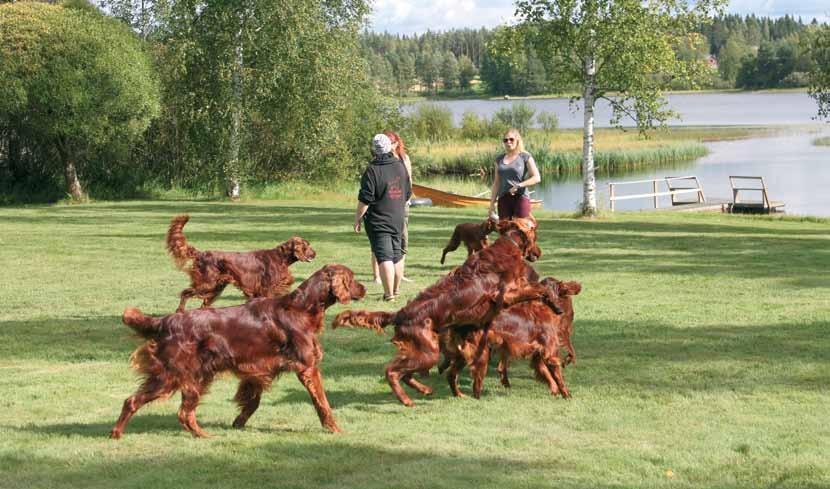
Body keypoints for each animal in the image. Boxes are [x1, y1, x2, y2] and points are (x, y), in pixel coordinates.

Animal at [111, 264, 368, 438]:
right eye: (353, 278)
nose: (365, 288)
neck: (302, 308)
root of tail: (165, 321)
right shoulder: (308, 368)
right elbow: (322, 403)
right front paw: (334, 428)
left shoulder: (258, 368)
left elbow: (253, 401)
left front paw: (238, 421)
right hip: (172, 375)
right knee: (134, 401)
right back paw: (117, 433)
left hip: (196, 377)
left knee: (184, 412)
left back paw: (202, 435)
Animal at [167, 214, 316, 312]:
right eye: (306, 246)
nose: (315, 254)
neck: (280, 257)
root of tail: (201, 253)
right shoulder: (266, 289)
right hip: (207, 283)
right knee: (185, 293)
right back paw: (179, 312)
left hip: (216, 286)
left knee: (203, 305)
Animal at [334, 216, 564, 404]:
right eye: (535, 234)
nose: (539, 252)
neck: (509, 245)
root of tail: (399, 314)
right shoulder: (507, 294)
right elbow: (540, 289)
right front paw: (555, 303)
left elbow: (538, 290)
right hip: (428, 352)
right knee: (392, 371)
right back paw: (407, 399)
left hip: (423, 351)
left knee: (407, 374)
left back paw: (428, 390)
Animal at [438, 276, 580, 398]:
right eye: (547, 295)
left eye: (558, 292)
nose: (560, 310)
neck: (541, 306)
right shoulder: (549, 353)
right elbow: (558, 378)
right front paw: (566, 395)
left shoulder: (538, 355)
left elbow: (547, 374)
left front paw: (555, 391)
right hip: (481, 355)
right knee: (475, 386)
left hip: (463, 355)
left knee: (451, 374)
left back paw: (459, 395)